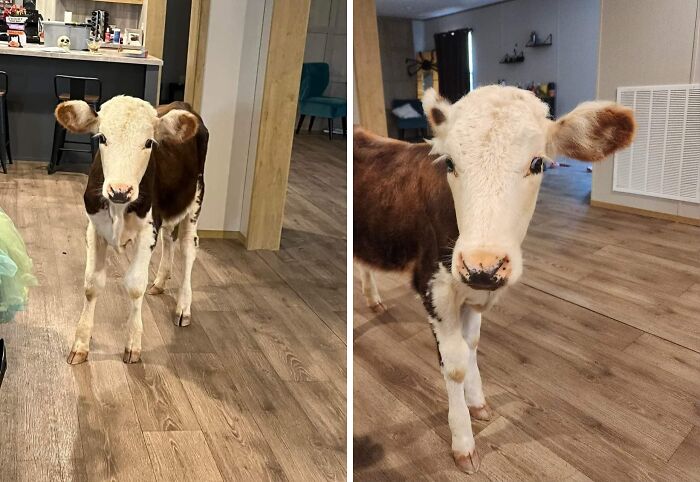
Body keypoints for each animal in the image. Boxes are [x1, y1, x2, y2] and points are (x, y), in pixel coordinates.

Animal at [55, 95, 208, 365]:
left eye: (148, 142)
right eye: (102, 138)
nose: (120, 190)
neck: (118, 208)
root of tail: (182, 104)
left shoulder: (148, 230)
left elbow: (135, 285)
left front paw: (133, 343)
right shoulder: (94, 227)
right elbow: (91, 284)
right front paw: (81, 343)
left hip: (195, 200)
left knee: (188, 248)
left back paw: (183, 307)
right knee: (170, 238)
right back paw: (160, 281)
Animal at [354, 85, 635, 473]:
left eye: (537, 163)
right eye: (450, 163)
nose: (483, 266)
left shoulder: (473, 292)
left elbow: (472, 346)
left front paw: (478, 403)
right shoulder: (434, 287)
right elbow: (455, 366)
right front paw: (463, 441)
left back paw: (373, 299)